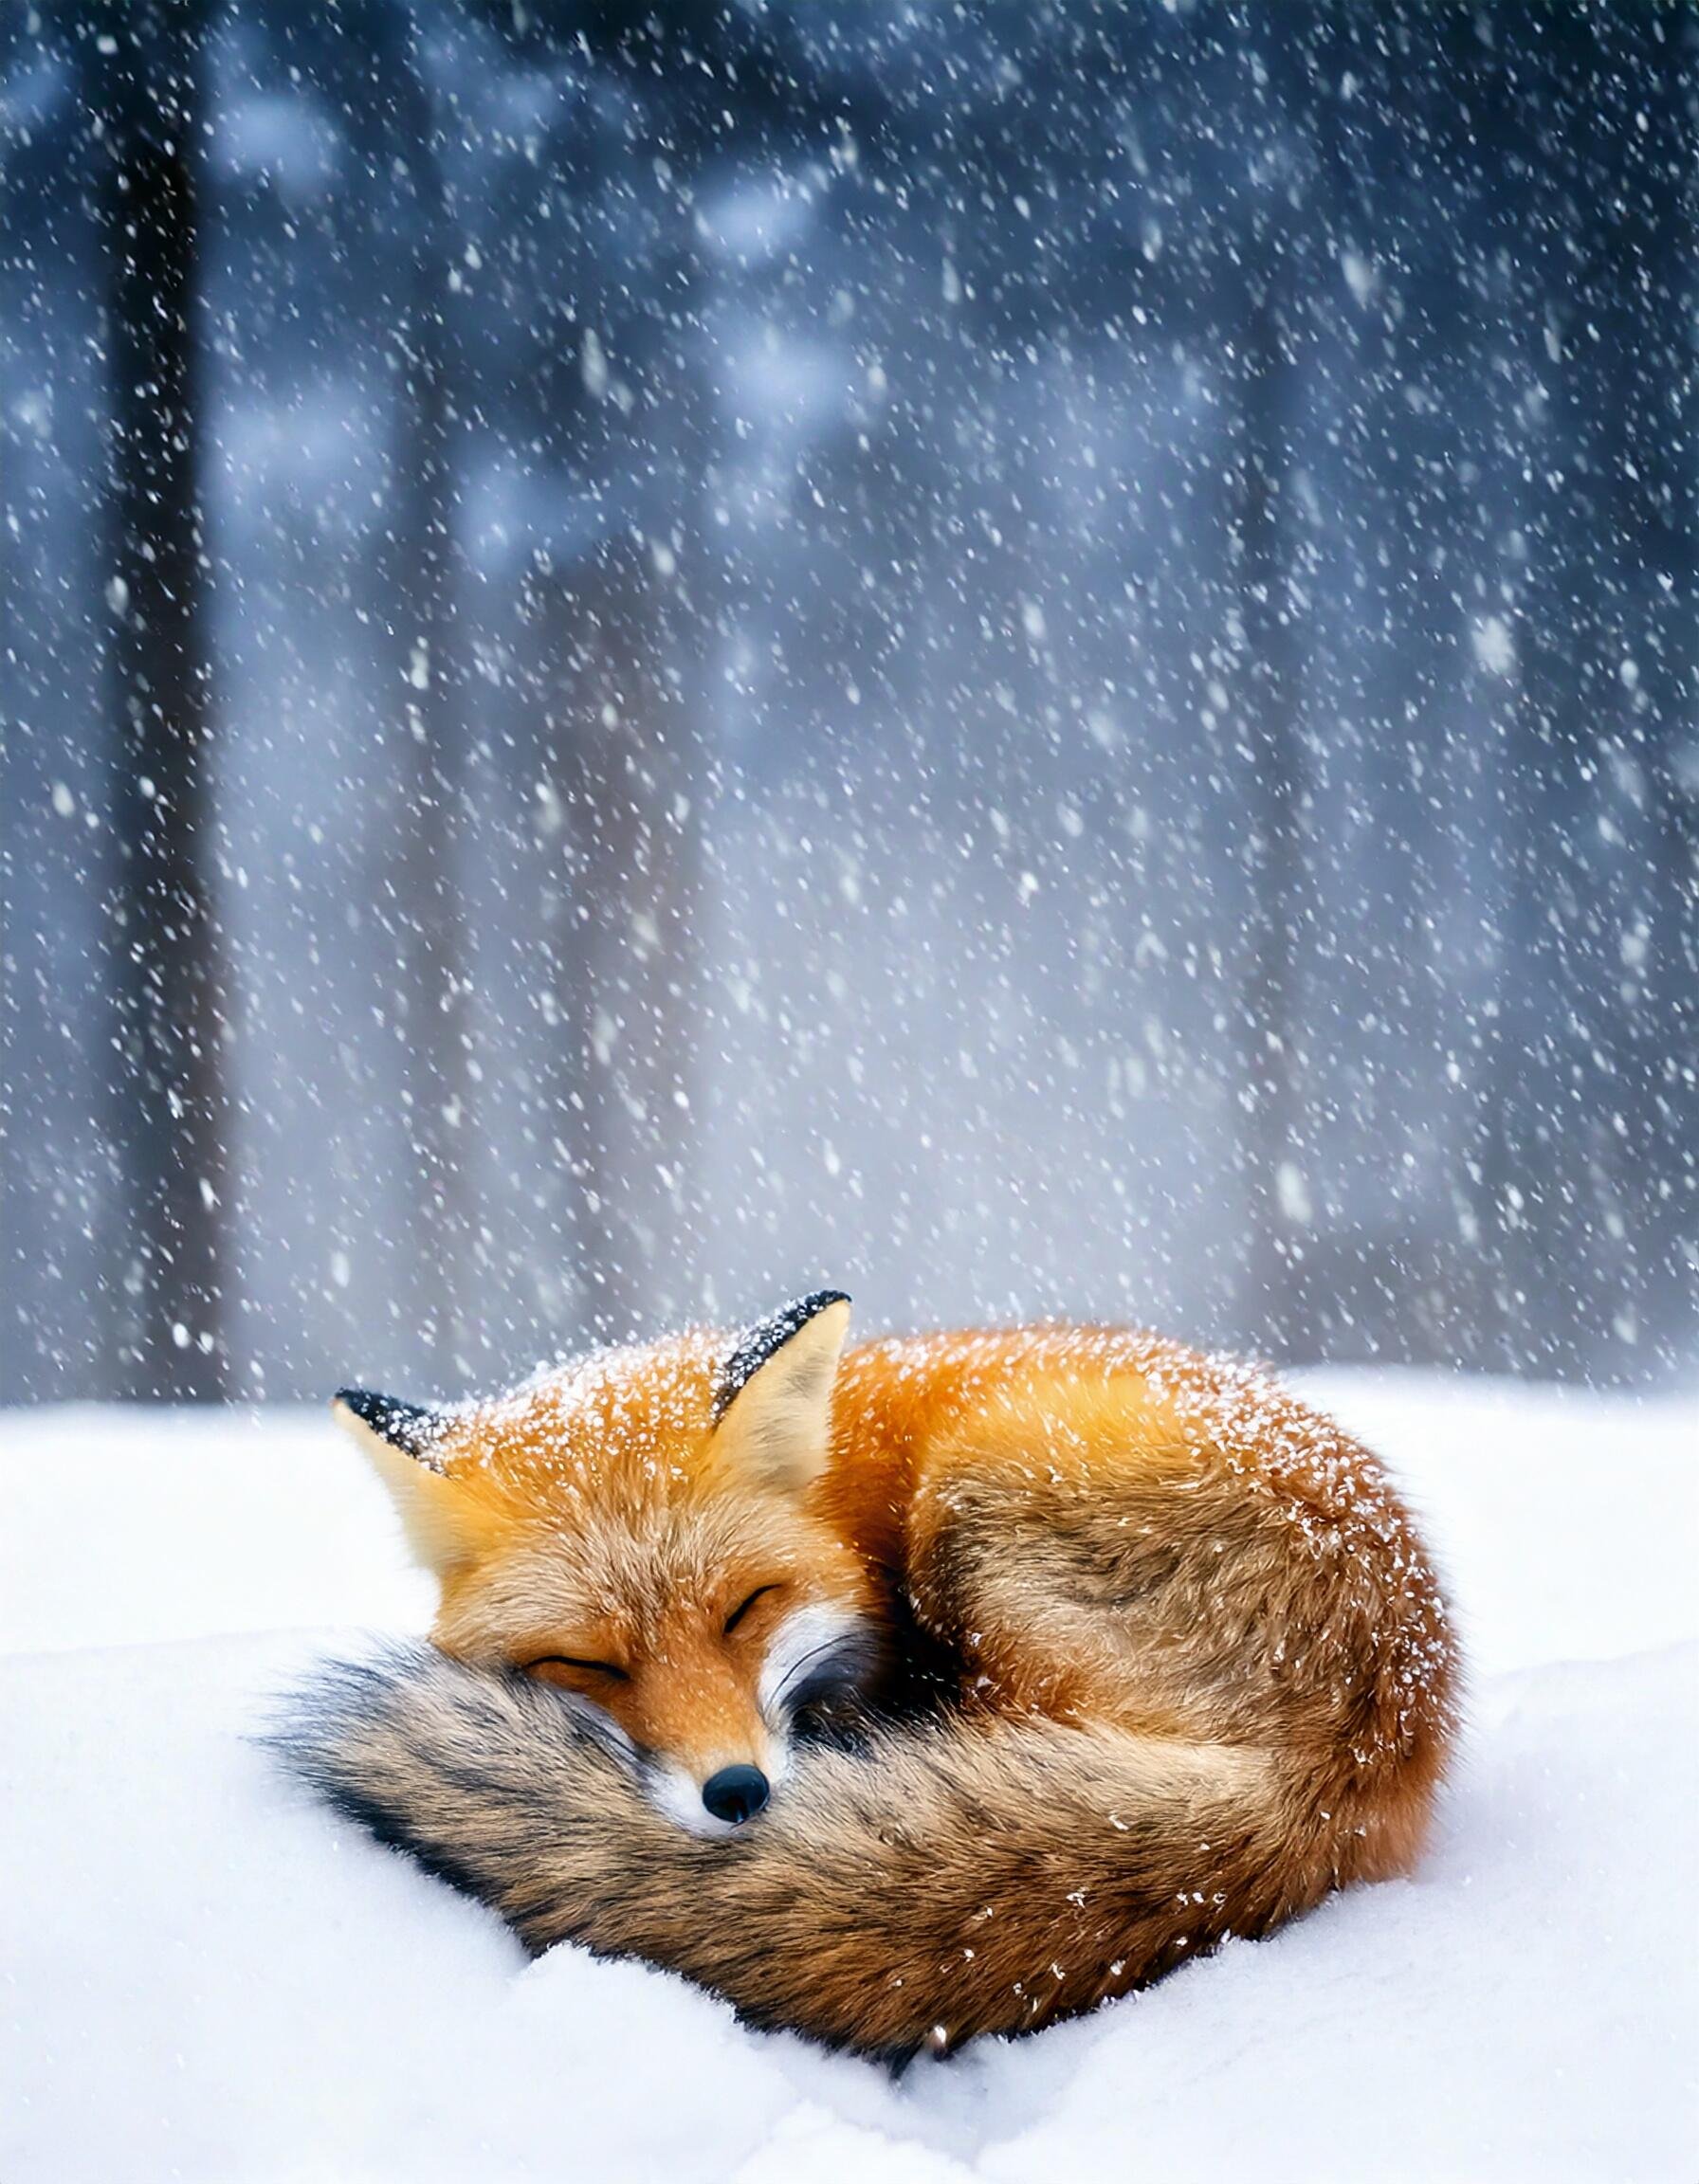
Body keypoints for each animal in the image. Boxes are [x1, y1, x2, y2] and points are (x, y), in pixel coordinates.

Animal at [280, 1290, 1459, 2058]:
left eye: (744, 1608)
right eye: (585, 1661)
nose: (737, 1795)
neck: (840, 1484)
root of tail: (1355, 1757)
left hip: (978, 1495)